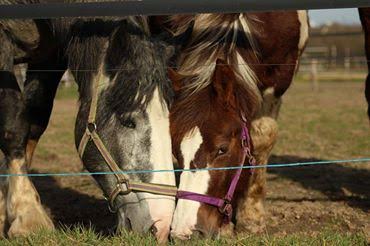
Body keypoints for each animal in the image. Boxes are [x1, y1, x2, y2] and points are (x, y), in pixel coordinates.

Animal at [0, 4, 176, 242]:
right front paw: (28, 215)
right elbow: (14, 125)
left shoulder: (50, 59)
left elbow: (35, 120)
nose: (161, 226)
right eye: (127, 121)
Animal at [153, 12, 310, 238]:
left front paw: (252, 216)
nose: (184, 232)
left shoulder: (277, 83)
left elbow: (264, 136)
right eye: (175, 151)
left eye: (222, 149)